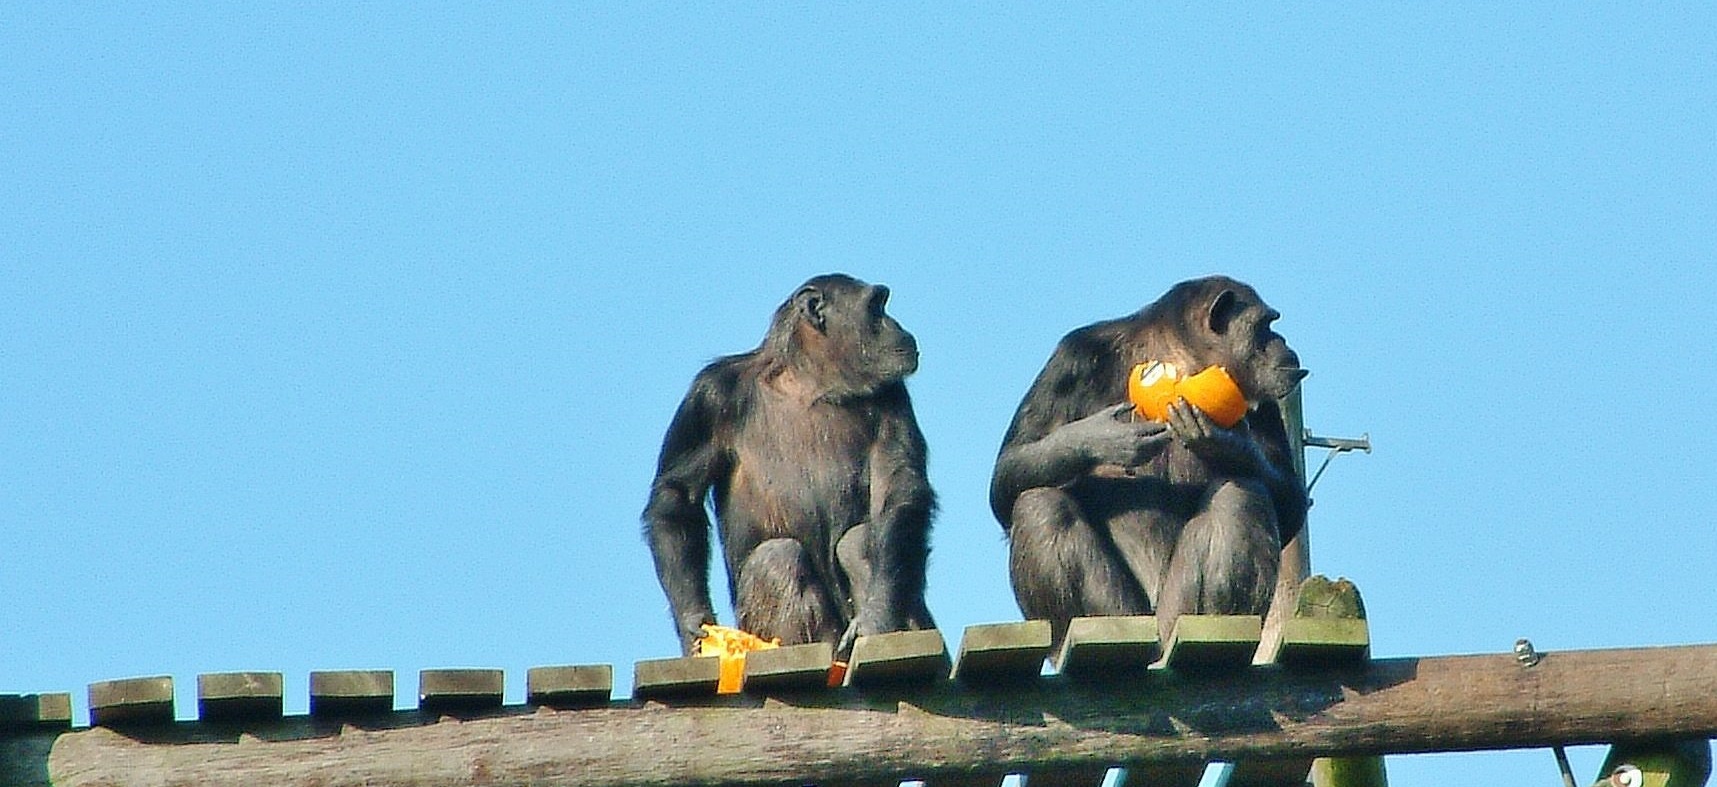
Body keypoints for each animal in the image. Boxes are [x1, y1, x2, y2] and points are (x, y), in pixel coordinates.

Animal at [645, 273, 940, 656]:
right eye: (876, 306)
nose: (896, 325)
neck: (808, 379)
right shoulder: (709, 395)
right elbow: (677, 494)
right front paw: (693, 623)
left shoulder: (894, 395)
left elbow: (899, 485)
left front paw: (878, 616)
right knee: (777, 557)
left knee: (859, 540)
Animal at [988, 276, 1304, 646]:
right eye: (1265, 325)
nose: (1281, 341)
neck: (1178, 356)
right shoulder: (1072, 358)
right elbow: (1009, 470)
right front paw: (1098, 437)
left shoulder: (1260, 393)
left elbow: (1290, 498)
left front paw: (1226, 443)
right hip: (1124, 613)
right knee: (1040, 504)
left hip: (1173, 610)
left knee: (1240, 495)